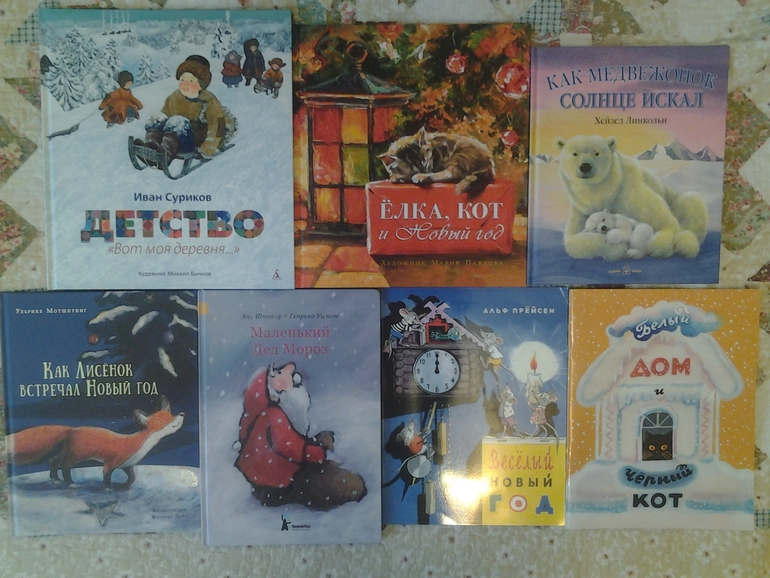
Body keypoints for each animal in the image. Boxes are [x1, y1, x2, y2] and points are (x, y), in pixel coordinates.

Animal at [6, 396, 184, 490]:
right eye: (162, 420)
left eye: (171, 413)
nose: (181, 414)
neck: (138, 444)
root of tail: (71, 429)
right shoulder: (111, 463)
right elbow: (106, 477)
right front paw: (109, 489)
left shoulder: (127, 465)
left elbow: (132, 478)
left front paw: (125, 487)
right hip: (74, 456)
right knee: (64, 467)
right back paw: (70, 484)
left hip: (64, 454)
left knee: (53, 463)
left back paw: (55, 480)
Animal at [555, 135, 709, 261]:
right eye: (574, 153)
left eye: (597, 153)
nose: (585, 166)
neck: (603, 193)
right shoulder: (582, 208)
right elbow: (572, 239)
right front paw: (615, 250)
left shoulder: (628, 190)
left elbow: (664, 220)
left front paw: (658, 246)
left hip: (674, 198)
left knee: (691, 201)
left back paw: (686, 246)